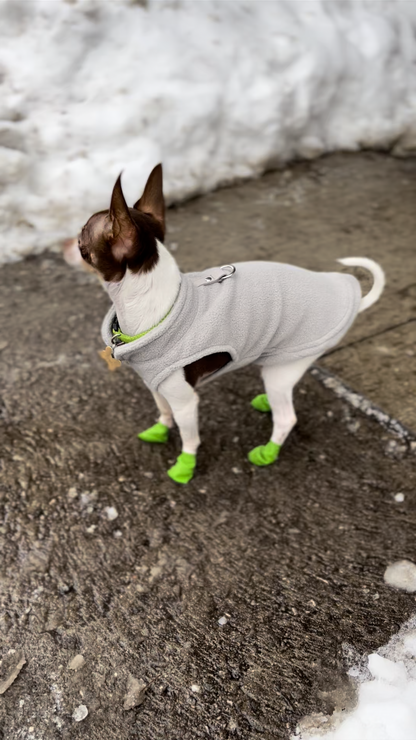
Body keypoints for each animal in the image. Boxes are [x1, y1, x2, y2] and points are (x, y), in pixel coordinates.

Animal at [76, 164, 386, 482]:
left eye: (83, 235)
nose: (73, 235)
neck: (156, 310)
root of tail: (352, 295)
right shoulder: (155, 384)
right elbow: (163, 411)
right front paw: (160, 430)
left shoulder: (185, 401)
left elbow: (189, 438)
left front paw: (185, 467)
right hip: (285, 360)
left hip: (289, 361)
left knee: (287, 417)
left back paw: (268, 452)